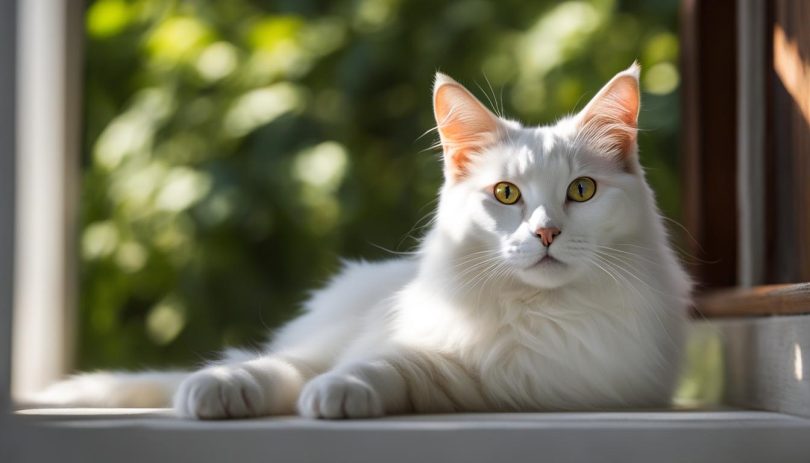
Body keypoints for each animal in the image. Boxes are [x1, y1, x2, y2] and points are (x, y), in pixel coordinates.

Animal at [34, 64, 688, 420]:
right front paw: (224, 388)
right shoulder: (381, 342)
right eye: (506, 195)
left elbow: (383, 370)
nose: (547, 233)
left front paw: (336, 395)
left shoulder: (502, 383)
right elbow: (290, 367)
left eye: (582, 191)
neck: (532, 314)